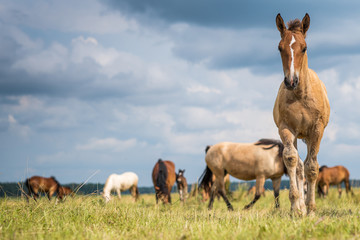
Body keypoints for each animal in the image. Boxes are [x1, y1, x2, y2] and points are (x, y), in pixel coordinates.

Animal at [274, 13, 330, 216]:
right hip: (297, 135)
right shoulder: (286, 129)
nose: (291, 81)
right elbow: (291, 160)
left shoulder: (316, 130)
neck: (301, 96)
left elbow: (312, 167)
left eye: (304, 48)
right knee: (298, 166)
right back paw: (300, 207)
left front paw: (312, 210)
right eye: (279, 47)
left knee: (307, 164)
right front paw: (296, 208)